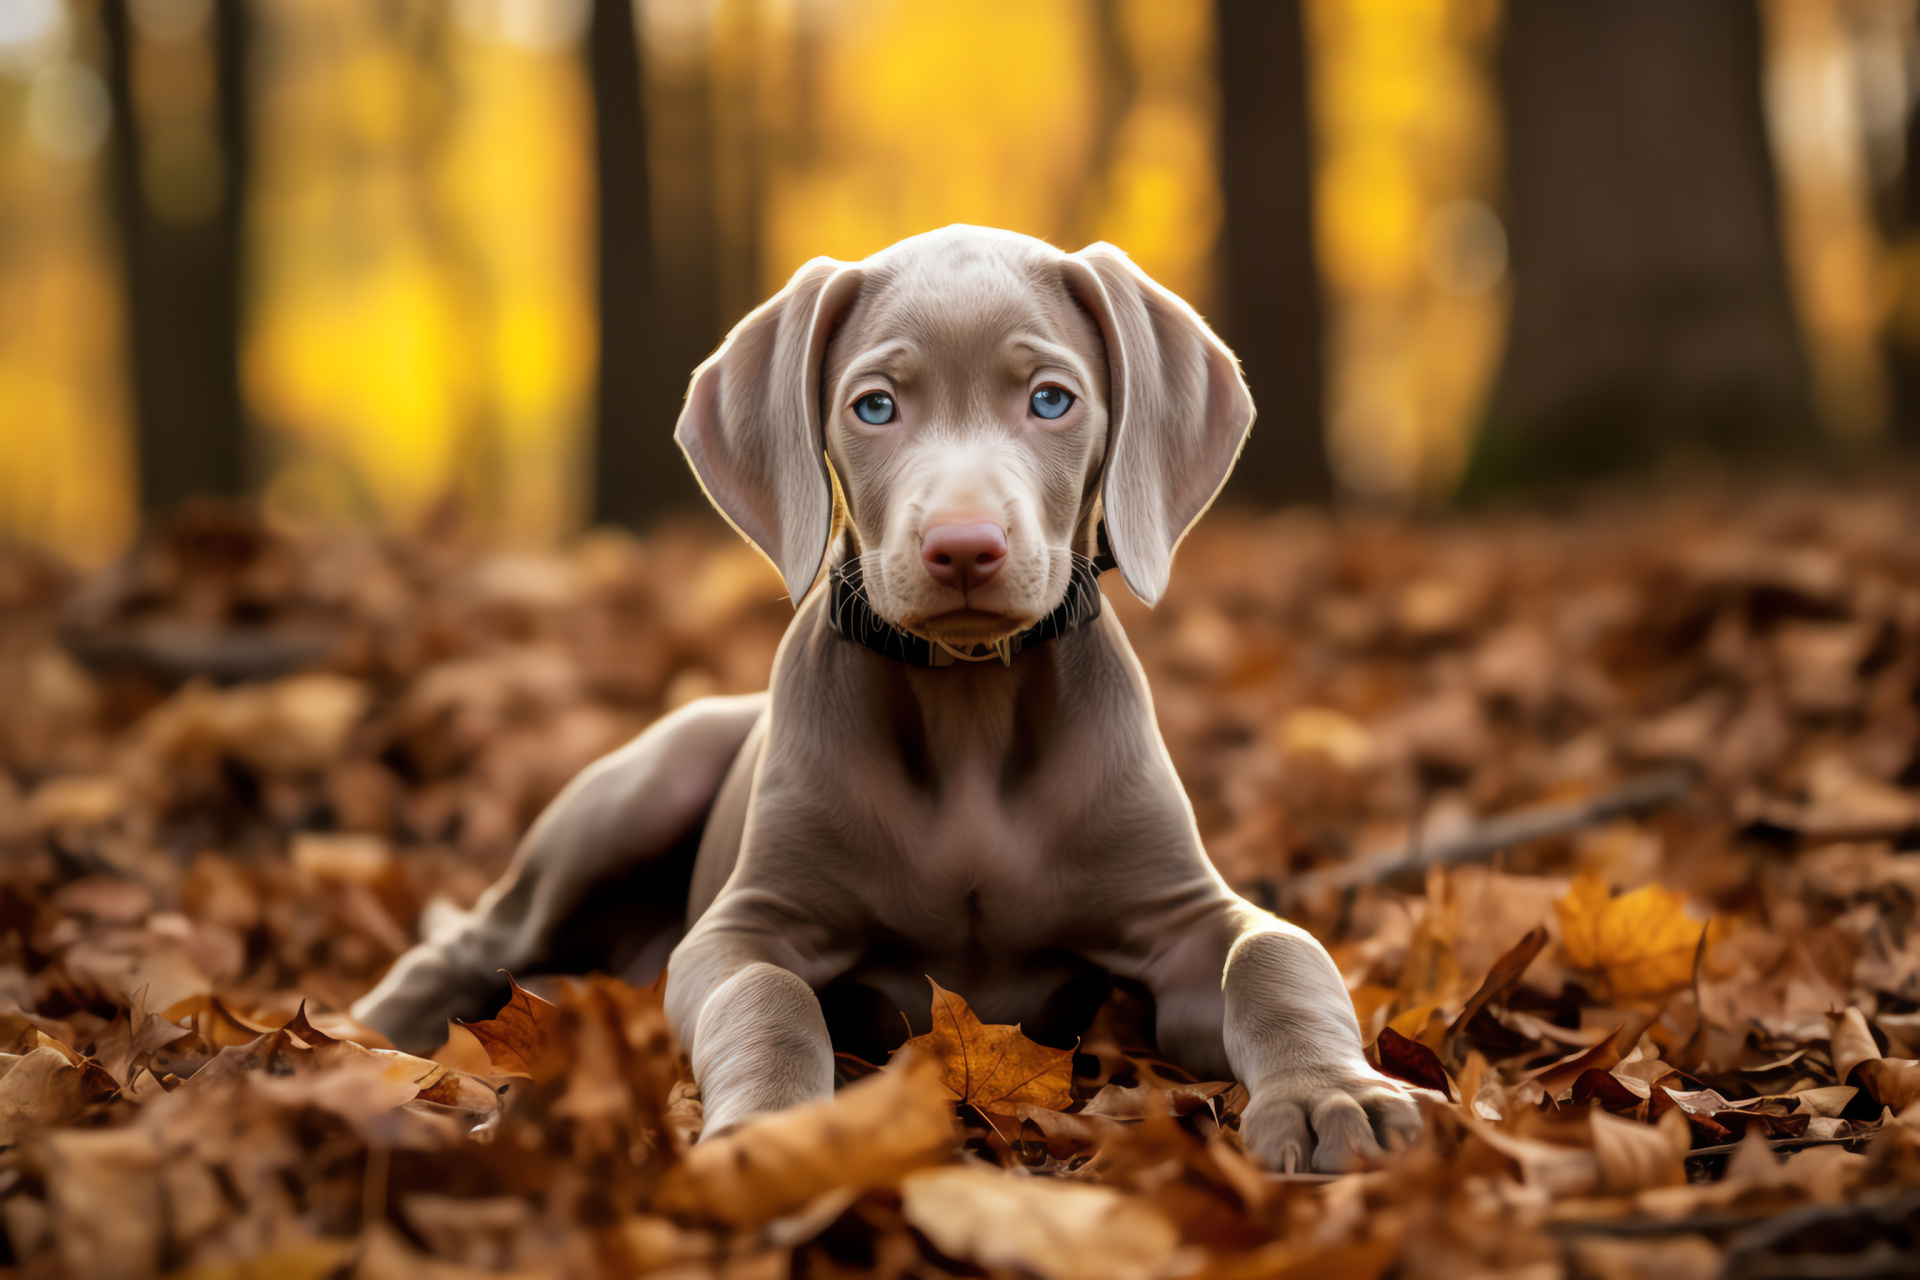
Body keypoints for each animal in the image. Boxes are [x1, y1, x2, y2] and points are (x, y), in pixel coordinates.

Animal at [353, 227, 1420, 1174]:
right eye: (873, 408)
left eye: (1051, 400)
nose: (964, 548)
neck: (970, 706)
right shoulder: (740, 930)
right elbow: (768, 998)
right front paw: (779, 1131)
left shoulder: (1188, 919)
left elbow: (1276, 960)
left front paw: (1333, 1094)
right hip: (641, 788)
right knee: (472, 941)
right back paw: (367, 1040)